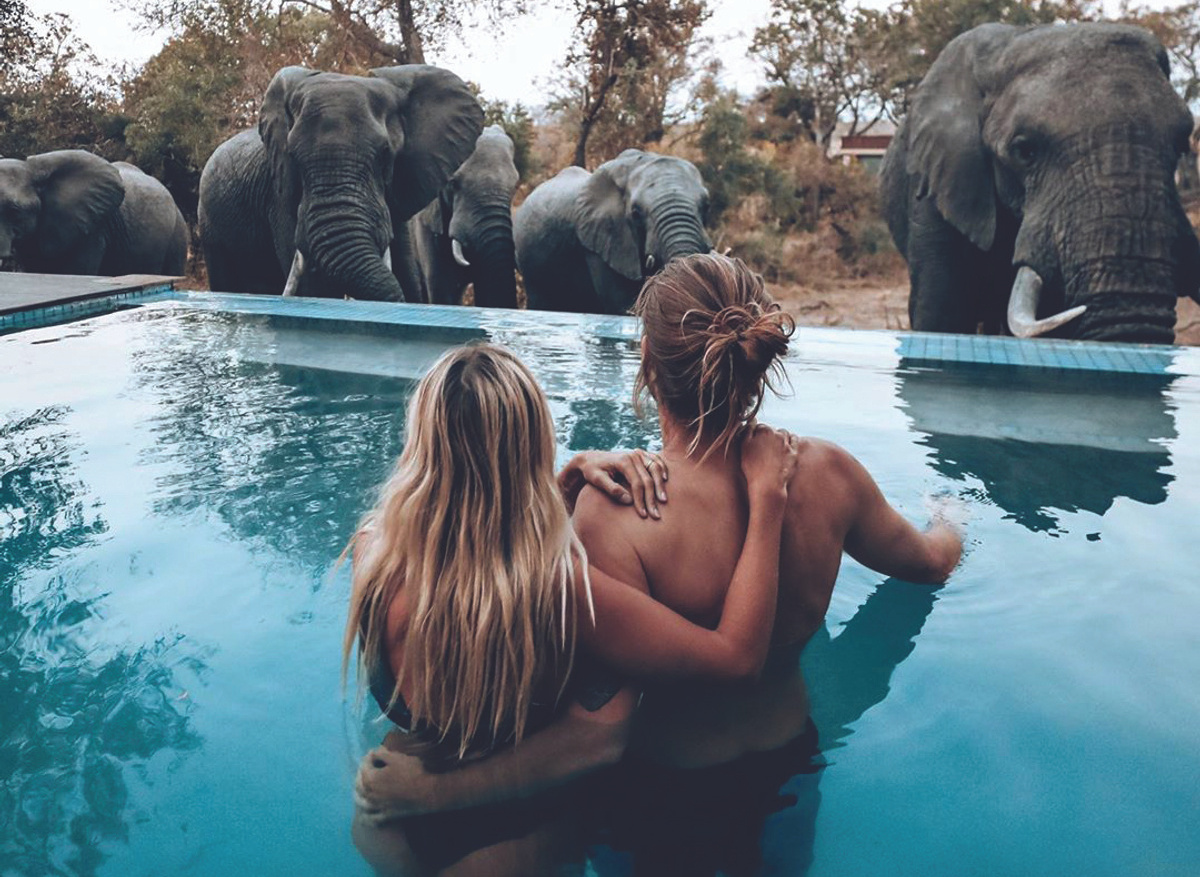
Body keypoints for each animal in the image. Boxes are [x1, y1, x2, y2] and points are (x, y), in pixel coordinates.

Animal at [198, 65, 483, 302]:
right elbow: (316, 287)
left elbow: (406, 274)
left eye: (385, 154)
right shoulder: (279, 195)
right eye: (293, 156)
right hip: (210, 226)